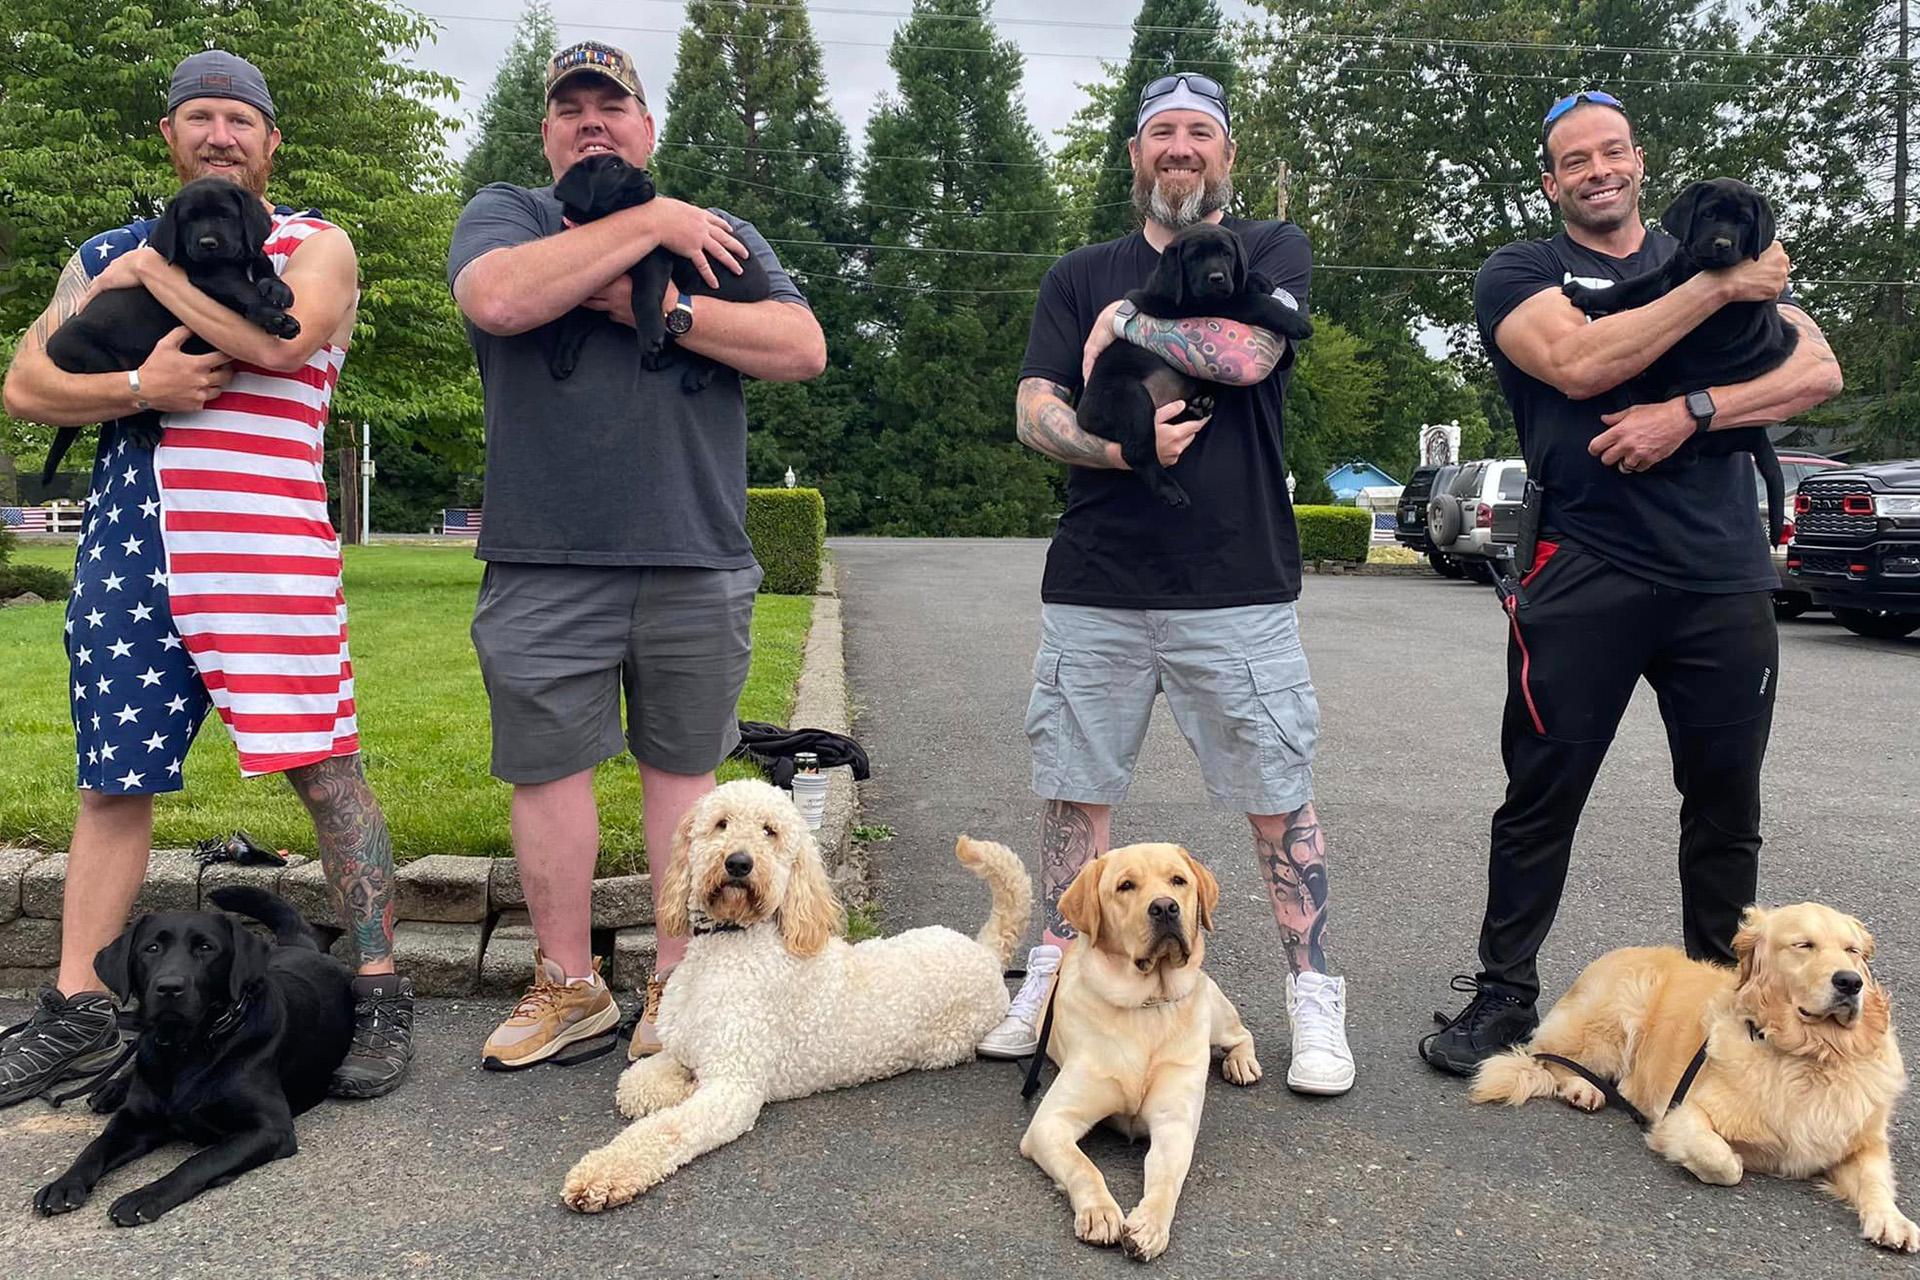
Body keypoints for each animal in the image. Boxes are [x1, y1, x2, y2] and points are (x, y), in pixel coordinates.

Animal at [32, 886, 357, 1228]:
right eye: (151, 948)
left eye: (206, 948)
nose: (169, 987)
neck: (188, 1047)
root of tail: (303, 947)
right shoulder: (134, 1118)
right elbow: (95, 1147)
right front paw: (64, 1184)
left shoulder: (269, 1128)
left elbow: (199, 1161)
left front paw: (144, 1197)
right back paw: (111, 1089)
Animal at [40, 177, 299, 483]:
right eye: (188, 220)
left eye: (226, 215)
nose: (207, 244)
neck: (232, 261)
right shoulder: (211, 275)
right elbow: (243, 289)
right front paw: (275, 318)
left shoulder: (247, 255)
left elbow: (263, 262)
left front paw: (276, 287)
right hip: (96, 359)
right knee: (126, 404)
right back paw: (142, 429)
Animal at [545, 153, 768, 391]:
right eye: (614, 166)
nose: (648, 173)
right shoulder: (596, 294)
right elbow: (575, 323)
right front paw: (563, 356)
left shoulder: (654, 259)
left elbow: (642, 296)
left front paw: (651, 333)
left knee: (719, 354)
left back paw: (695, 373)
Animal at [1075, 222, 1313, 506]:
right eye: (1194, 258)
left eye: (1226, 254)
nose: (1217, 278)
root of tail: (1081, 416)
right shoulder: (1205, 307)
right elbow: (1251, 302)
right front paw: (1294, 320)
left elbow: (1245, 284)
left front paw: (1258, 279)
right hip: (1129, 397)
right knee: (1137, 451)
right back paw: (1170, 490)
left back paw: (1200, 407)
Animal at [1566, 176, 1789, 541]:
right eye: (1709, 214)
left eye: (1745, 222)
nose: (1723, 244)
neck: (1697, 269)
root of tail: (1757, 433)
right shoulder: (1665, 272)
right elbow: (1630, 288)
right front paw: (1589, 295)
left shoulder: (1715, 322)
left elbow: (1672, 326)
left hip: (1686, 405)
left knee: (1683, 454)